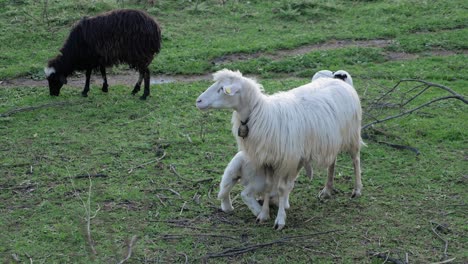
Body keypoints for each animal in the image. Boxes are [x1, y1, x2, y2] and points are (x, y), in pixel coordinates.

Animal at [196, 69, 364, 230]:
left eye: (222, 89)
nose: (198, 101)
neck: (259, 114)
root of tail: (339, 81)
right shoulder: (267, 160)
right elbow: (268, 187)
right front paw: (263, 215)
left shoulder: (287, 161)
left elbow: (282, 188)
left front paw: (280, 220)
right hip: (332, 139)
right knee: (332, 162)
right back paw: (327, 190)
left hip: (352, 134)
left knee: (355, 160)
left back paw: (357, 190)